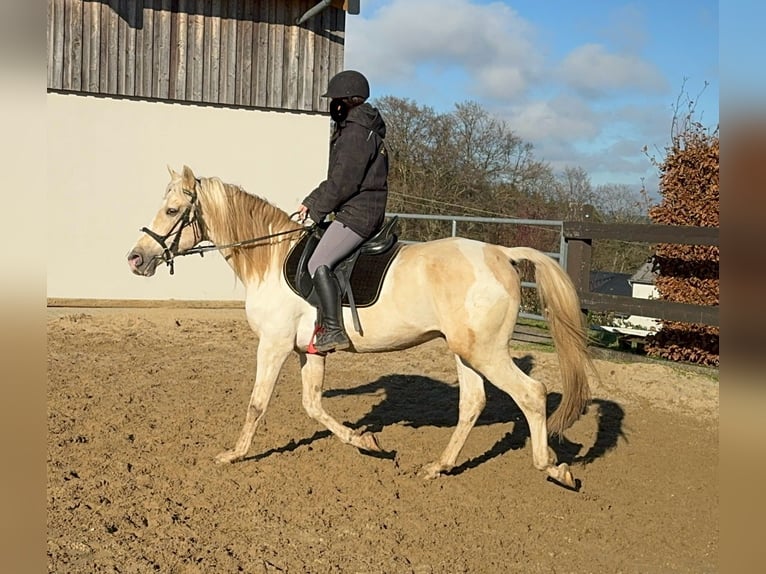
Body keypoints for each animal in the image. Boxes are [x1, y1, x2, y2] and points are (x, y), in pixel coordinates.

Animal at [127, 164, 592, 488]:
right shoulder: (309, 350)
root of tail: (501, 253)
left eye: (172, 210)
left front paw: (233, 455)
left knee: (531, 394)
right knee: (473, 403)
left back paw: (554, 469)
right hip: (466, 351)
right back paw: (438, 467)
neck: (270, 259)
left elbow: (257, 403)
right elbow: (313, 405)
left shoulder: (274, 345)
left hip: (486, 352)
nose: (135, 258)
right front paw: (368, 443)